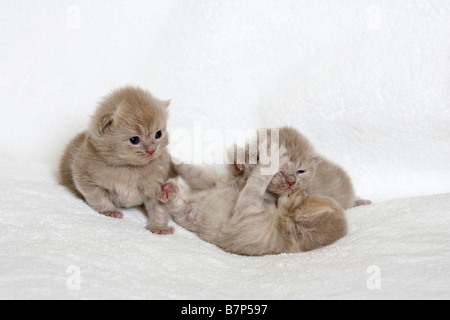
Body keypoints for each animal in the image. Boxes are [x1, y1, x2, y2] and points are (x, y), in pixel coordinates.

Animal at [59, 86, 178, 234]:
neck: (129, 167)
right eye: (134, 140)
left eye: (158, 134)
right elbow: (97, 196)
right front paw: (109, 211)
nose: (151, 150)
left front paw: (159, 226)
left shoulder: (156, 182)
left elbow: (159, 208)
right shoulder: (84, 174)